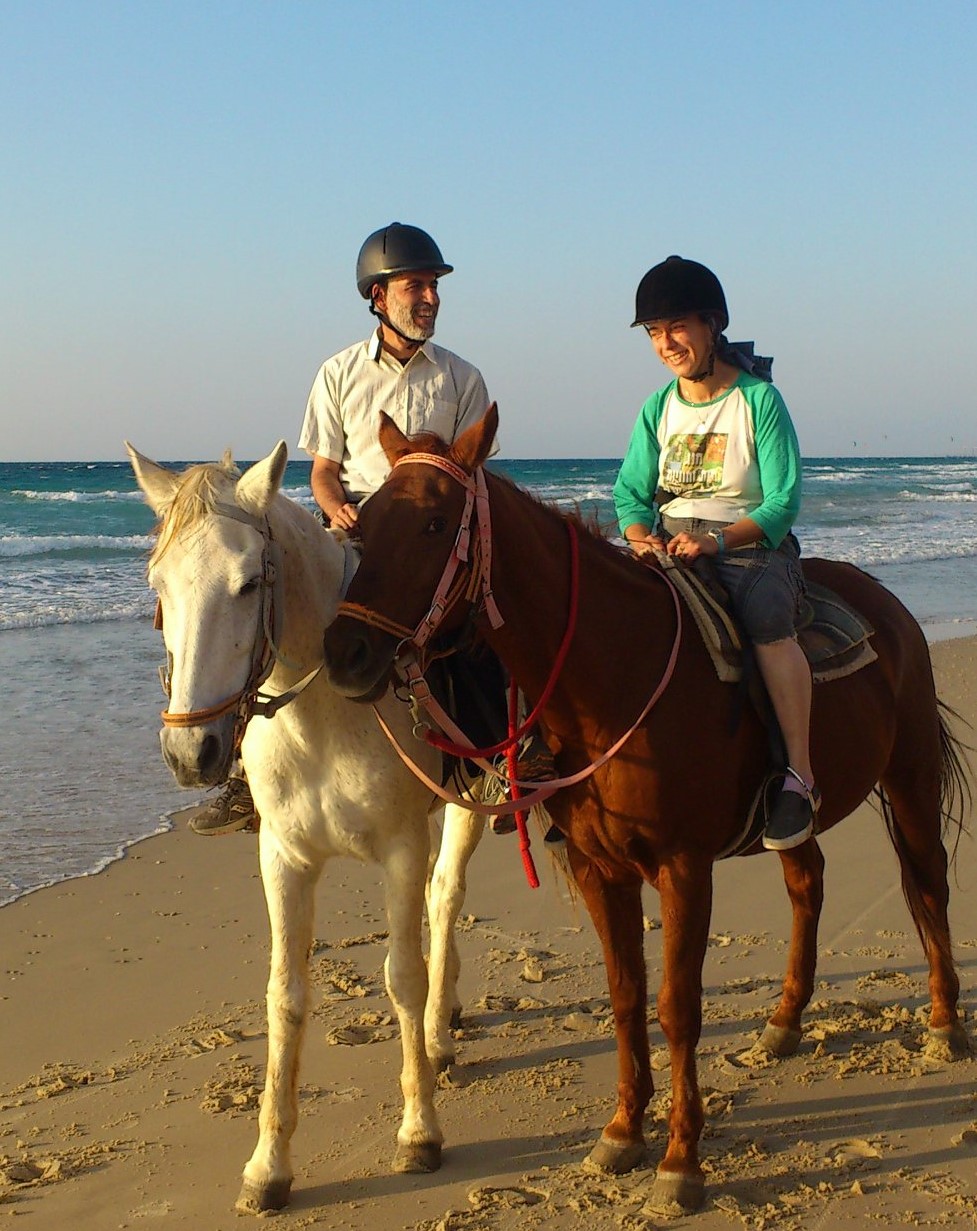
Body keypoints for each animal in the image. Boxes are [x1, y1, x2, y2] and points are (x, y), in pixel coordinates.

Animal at [125, 440, 482, 1211]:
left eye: (247, 584)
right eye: (158, 586)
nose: (190, 753)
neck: (328, 710)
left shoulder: (401, 849)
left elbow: (402, 977)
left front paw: (419, 1132)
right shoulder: (283, 858)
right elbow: (284, 998)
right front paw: (269, 1166)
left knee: (445, 895)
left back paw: (437, 1033)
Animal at [319, 406, 964, 1211]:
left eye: (436, 524)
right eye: (365, 520)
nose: (344, 650)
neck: (613, 673)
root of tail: (886, 604)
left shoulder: (684, 868)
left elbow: (676, 1006)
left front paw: (681, 1162)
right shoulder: (600, 868)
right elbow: (626, 997)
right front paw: (624, 1132)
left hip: (909, 777)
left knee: (927, 883)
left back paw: (943, 1023)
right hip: (800, 815)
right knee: (806, 881)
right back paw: (784, 1023)